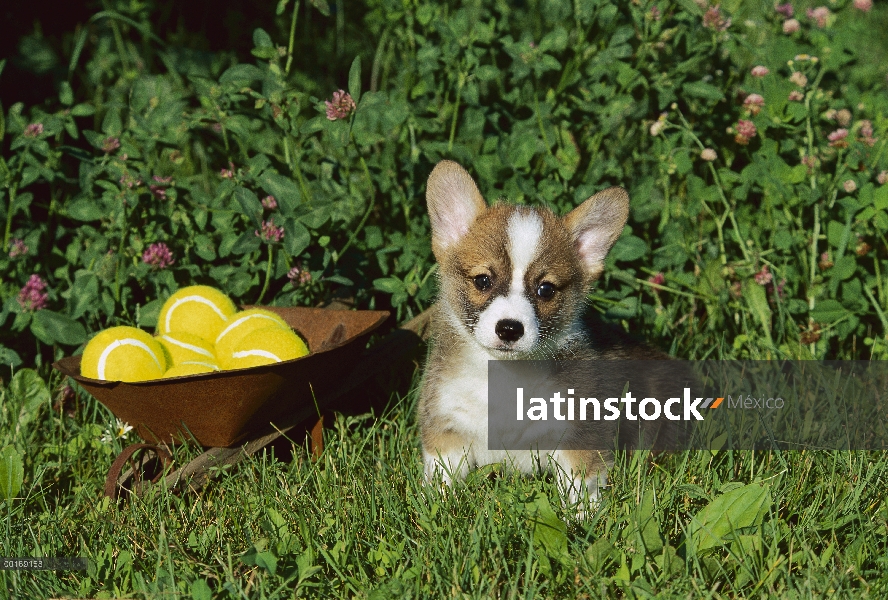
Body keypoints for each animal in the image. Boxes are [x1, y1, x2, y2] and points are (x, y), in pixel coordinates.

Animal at [420, 159, 668, 510]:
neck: (507, 376)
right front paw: (434, 512)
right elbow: (441, 482)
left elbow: (581, 491)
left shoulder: (579, 437)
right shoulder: (447, 429)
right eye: (483, 280)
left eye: (546, 289)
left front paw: (583, 521)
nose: (509, 328)